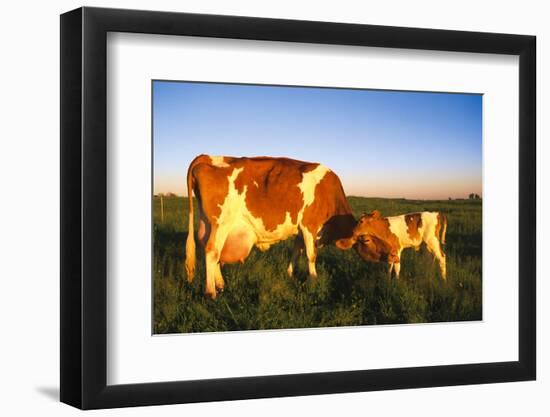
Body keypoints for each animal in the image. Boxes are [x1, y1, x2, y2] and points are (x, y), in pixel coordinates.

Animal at [185, 154, 358, 298]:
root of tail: (208, 156)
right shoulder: (309, 226)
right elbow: (311, 255)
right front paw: (314, 281)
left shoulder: (300, 231)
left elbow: (296, 252)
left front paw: (290, 274)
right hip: (222, 223)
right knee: (212, 251)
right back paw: (211, 292)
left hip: (209, 224)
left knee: (211, 249)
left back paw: (220, 284)